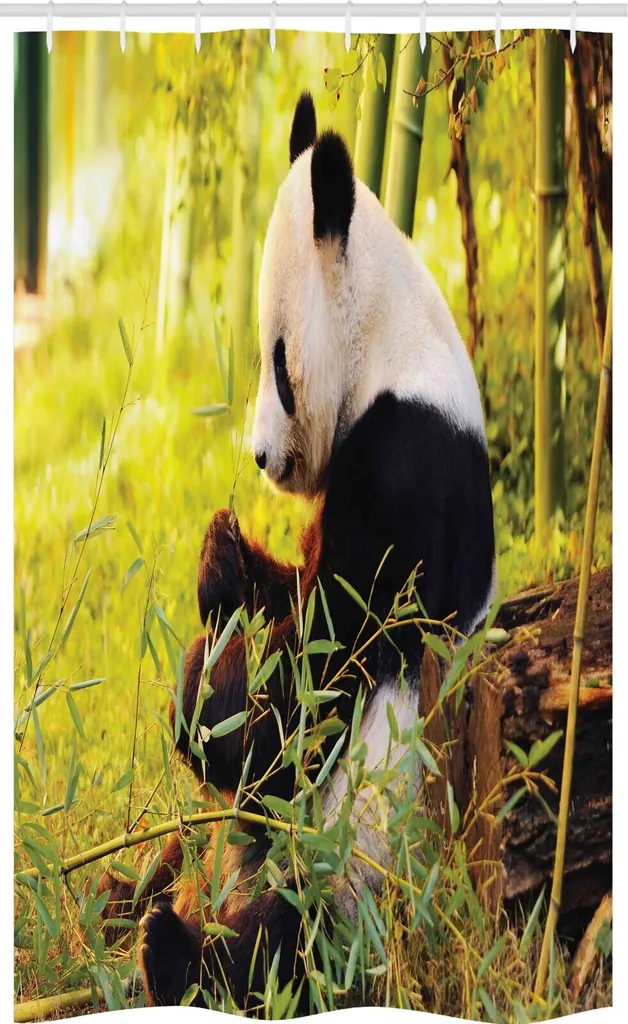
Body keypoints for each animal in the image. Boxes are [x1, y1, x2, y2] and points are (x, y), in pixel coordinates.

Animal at [99, 92, 495, 1012]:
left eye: (274, 362)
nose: (259, 458)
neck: (392, 343)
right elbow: (277, 603)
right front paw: (221, 553)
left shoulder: (406, 459)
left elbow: (320, 678)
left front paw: (207, 709)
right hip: (234, 846)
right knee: (186, 845)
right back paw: (118, 897)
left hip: (358, 865)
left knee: (284, 946)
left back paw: (172, 952)